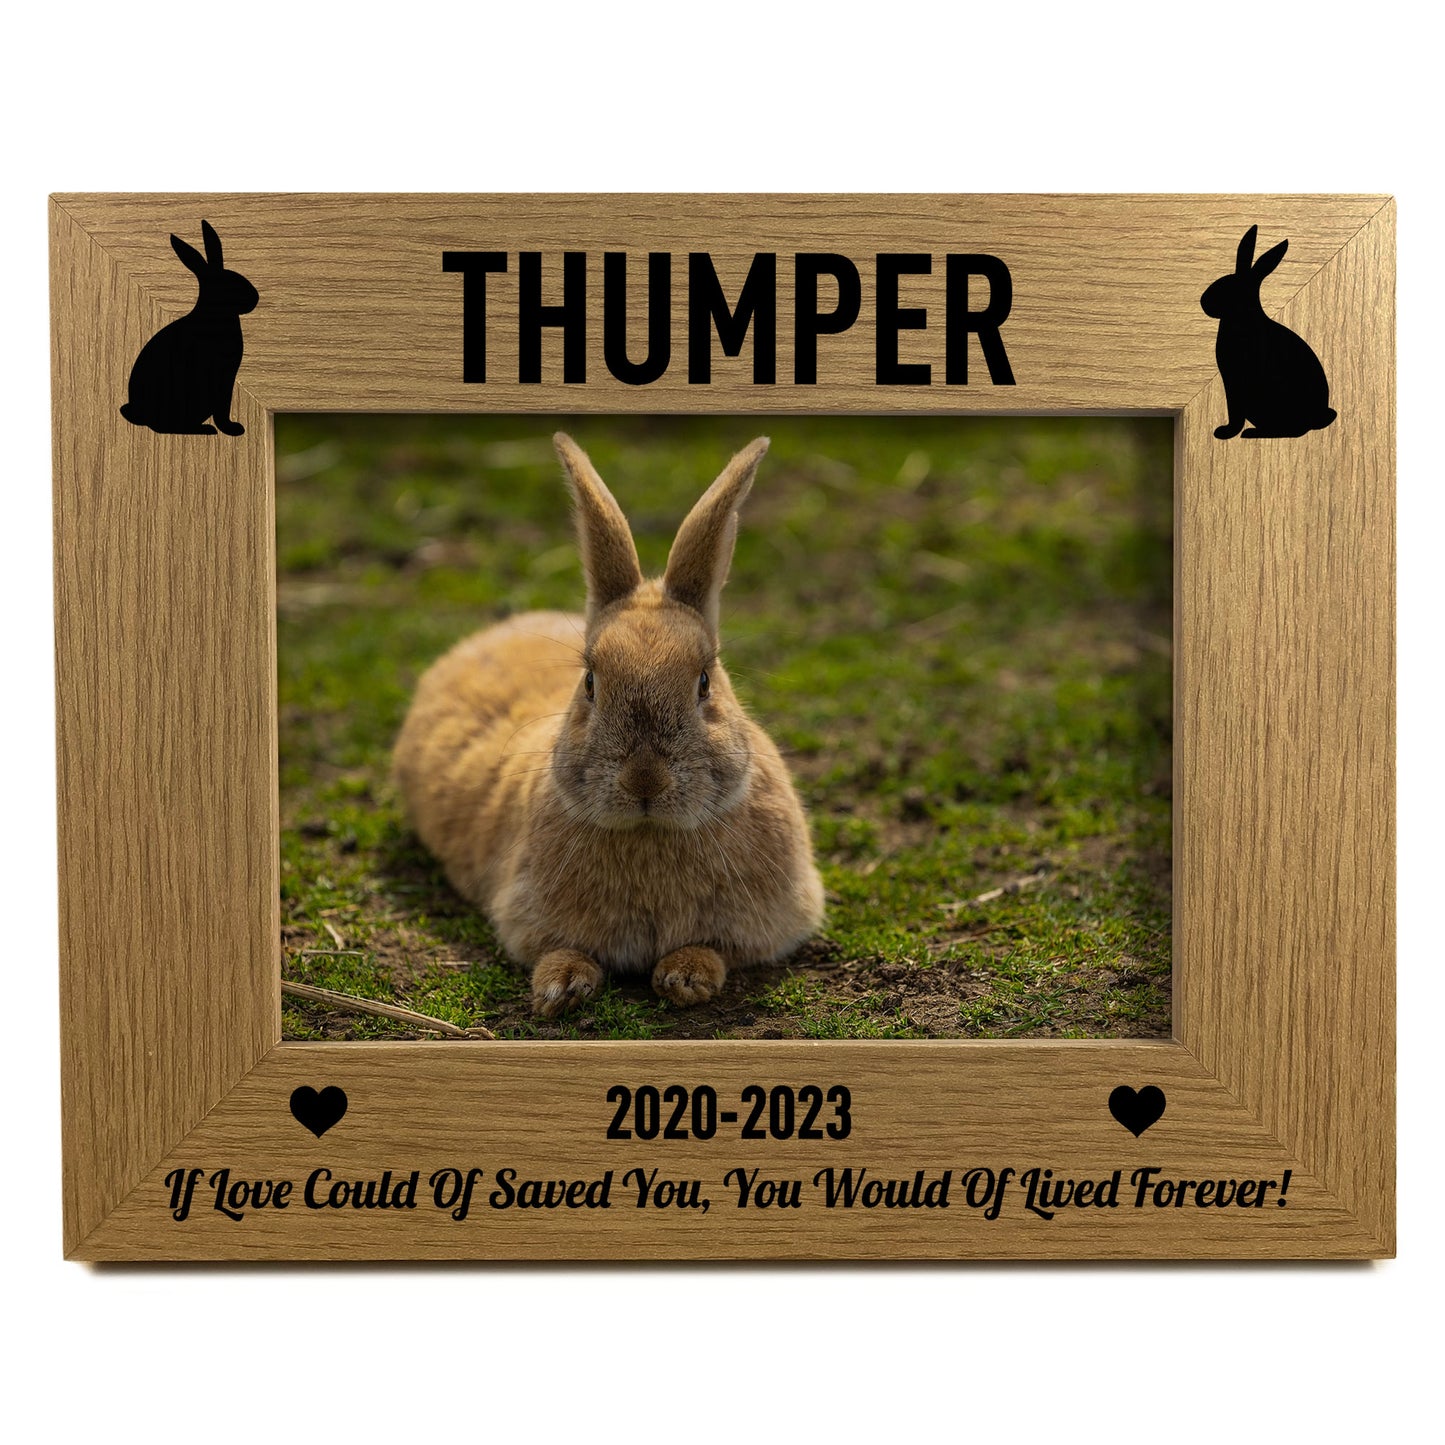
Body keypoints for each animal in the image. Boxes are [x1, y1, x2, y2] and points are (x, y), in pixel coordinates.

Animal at [392, 433, 826, 1017]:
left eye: (704, 683)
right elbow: (559, 950)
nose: (644, 781)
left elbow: (716, 950)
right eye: (590, 683)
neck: (650, 832)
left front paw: (686, 976)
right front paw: (560, 987)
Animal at [1201, 225, 1337, 440]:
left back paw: (1253, 433)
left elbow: (1235, 413)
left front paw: (1225, 432)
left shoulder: (1235, 382)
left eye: (1227, 288)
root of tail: (1316, 417)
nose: (1203, 302)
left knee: (1294, 430)